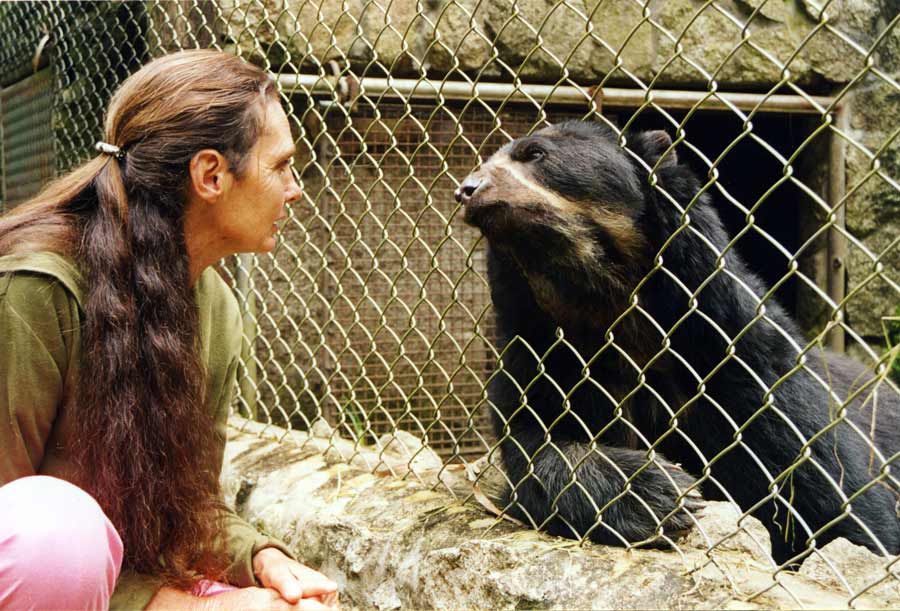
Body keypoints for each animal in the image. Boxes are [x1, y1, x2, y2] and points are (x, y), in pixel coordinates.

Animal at [458, 122, 900, 568]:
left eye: (535, 153)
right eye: (485, 160)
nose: (467, 188)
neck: (608, 305)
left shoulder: (742, 358)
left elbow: (830, 489)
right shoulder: (538, 354)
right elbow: (536, 446)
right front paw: (659, 492)